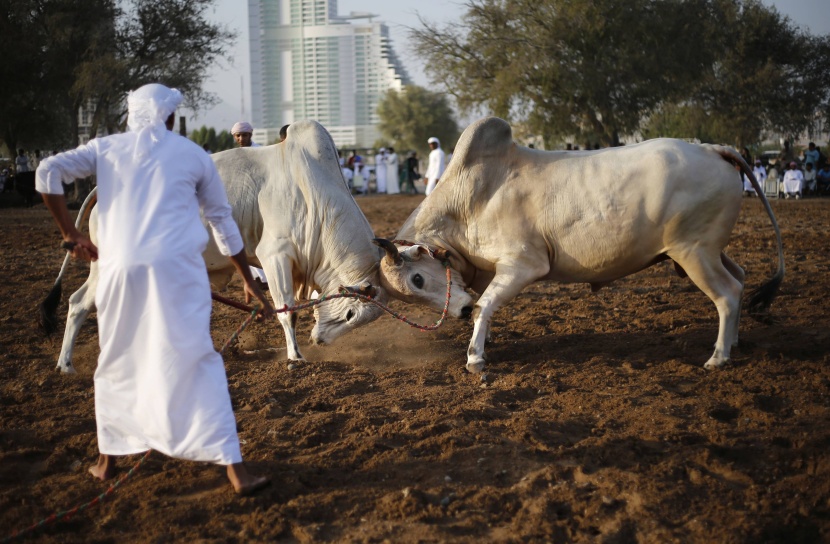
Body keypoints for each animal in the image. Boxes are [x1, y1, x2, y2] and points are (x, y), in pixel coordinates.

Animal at [45, 120, 394, 372]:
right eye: (350, 313)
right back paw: (66, 365)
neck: (315, 195)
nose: (320, 341)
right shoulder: (274, 256)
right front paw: (295, 357)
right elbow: (287, 312)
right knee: (79, 303)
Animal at [376, 117, 788, 374]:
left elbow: (485, 304)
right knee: (741, 278)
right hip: (707, 251)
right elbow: (484, 308)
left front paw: (475, 357)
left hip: (694, 252)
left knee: (728, 294)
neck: (470, 200)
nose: (457, 311)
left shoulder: (523, 264)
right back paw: (734, 344)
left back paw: (718, 357)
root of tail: (713, 149)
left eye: (417, 278)